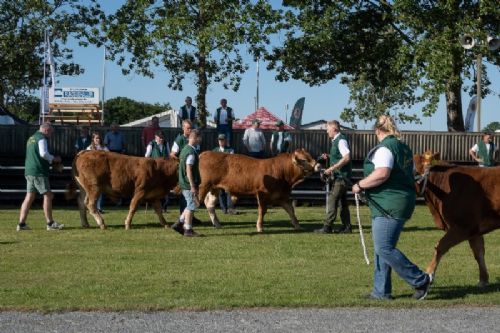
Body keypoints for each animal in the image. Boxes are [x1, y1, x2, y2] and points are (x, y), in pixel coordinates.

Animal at [414, 150, 500, 286]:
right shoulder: (474, 231)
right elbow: (478, 252)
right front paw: (483, 279)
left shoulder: (463, 227)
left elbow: (440, 246)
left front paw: (429, 274)